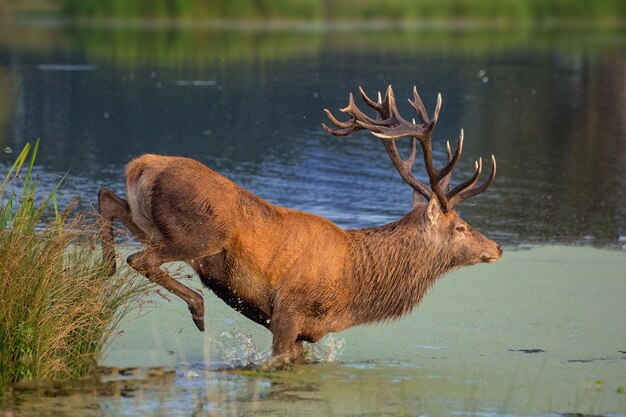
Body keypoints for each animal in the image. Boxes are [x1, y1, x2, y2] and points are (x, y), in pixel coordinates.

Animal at [98, 86, 502, 366]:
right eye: (460, 227)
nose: (497, 247)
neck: (353, 286)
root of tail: (144, 165)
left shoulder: (306, 333)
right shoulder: (289, 309)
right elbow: (275, 362)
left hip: (148, 220)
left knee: (106, 199)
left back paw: (103, 271)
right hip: (198, 235)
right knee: (141, 259)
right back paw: (195, 307)